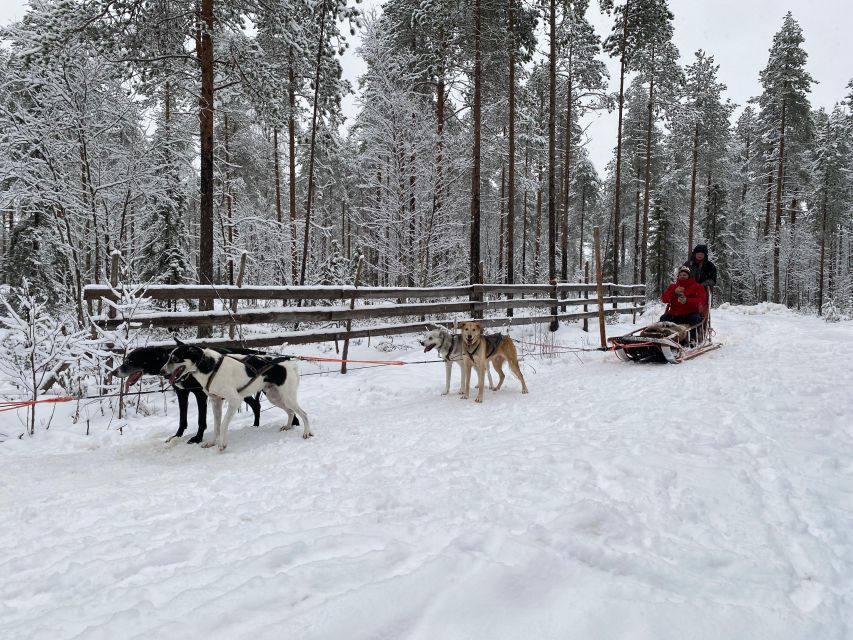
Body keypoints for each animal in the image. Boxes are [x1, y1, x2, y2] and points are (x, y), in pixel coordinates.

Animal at [160, 342, 310, 452]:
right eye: (168, 357)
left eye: (174, 359)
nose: (161, 372)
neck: (210, 366)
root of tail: (289, 363)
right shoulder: (215, 401)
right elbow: (216, 426)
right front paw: (212, 442)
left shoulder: (234, 401)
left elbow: (223, 424)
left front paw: (222, 444)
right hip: (275, 398)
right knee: (291, 412)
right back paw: (288, 426)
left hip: (287, 397)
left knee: (304, 413)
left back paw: (307, 433)